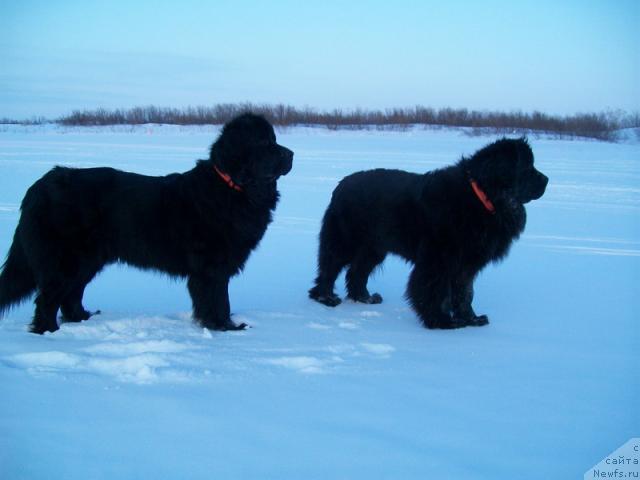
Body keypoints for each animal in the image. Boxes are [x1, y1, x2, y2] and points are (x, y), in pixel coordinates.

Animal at [0, 114, 294, 336]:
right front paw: (225, 328)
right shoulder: (212, 267)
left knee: (71, 294)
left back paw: (82, 318)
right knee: (48, 298)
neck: (233, 186)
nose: (292, 154)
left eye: (274, 140)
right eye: (265, 143)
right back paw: (49, 332)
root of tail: (38, 187)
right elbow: (218, 298)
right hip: (67, 260)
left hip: (88, 260)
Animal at [308, 137, 544, 328]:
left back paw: (364, 298)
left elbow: (465, 293)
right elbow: (432, 290)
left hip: (374, 248)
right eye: (528, 167)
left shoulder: (465, 263)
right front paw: (441, 321)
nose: (546, 180)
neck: (481, 196)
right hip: (344, 242)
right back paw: (325, 298)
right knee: (329, 269)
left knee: (356, 272)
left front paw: (471, 319)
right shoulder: (437, 260)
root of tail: (339, 187)